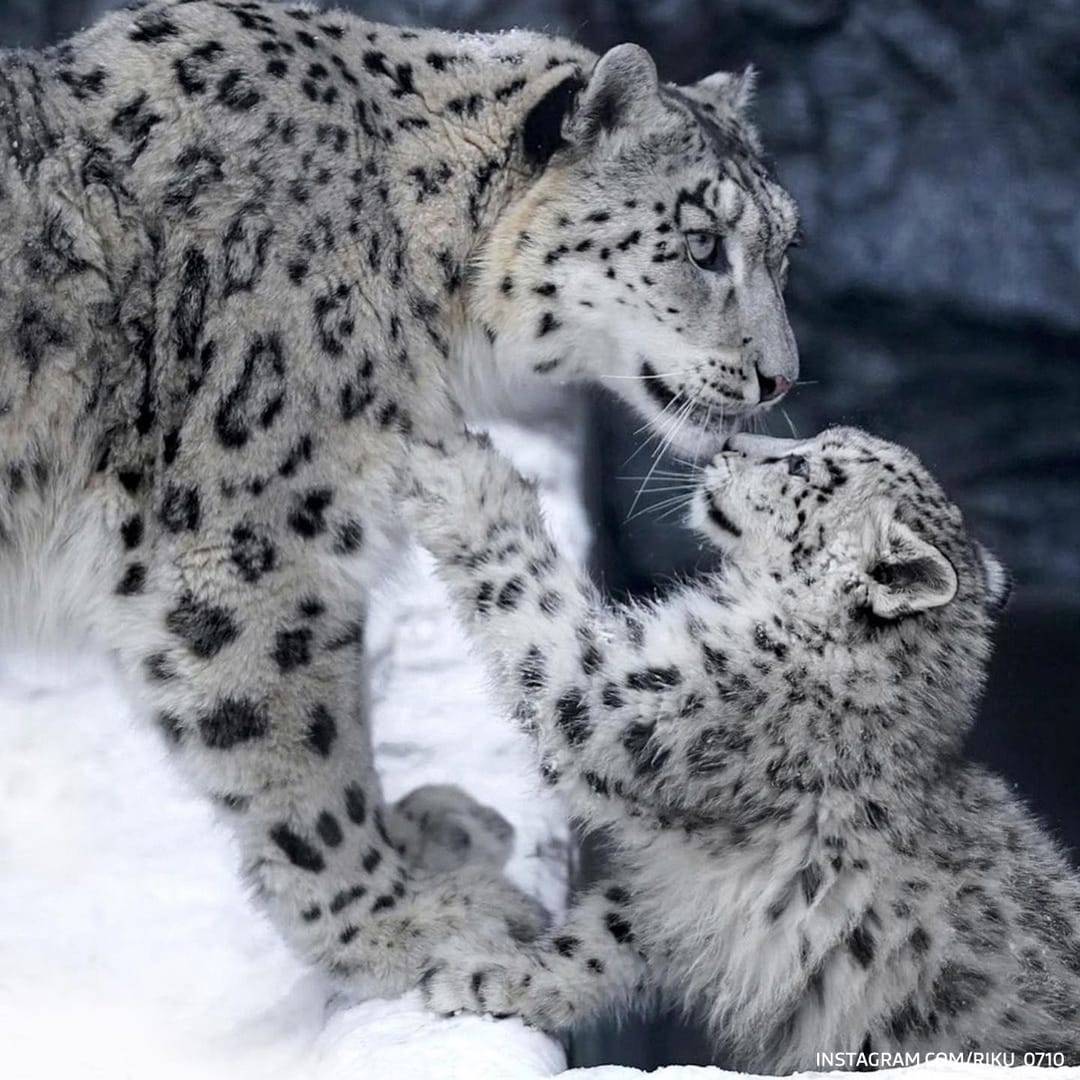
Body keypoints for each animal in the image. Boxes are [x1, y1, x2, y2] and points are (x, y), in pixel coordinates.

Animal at [0, 0, 799, 1000]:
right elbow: (299, 750)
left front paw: (428, 836)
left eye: (784, 248)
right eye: (701, 244)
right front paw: (401, 923)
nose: (781, 377)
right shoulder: (252, 546)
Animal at [402, 426, 1080, 1072]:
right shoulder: (677, 887)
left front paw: (461, 472)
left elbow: (542, 613)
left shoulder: (636, 702)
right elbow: (605, 936)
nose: (728, 441)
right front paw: (490, 976)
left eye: (803, 467)